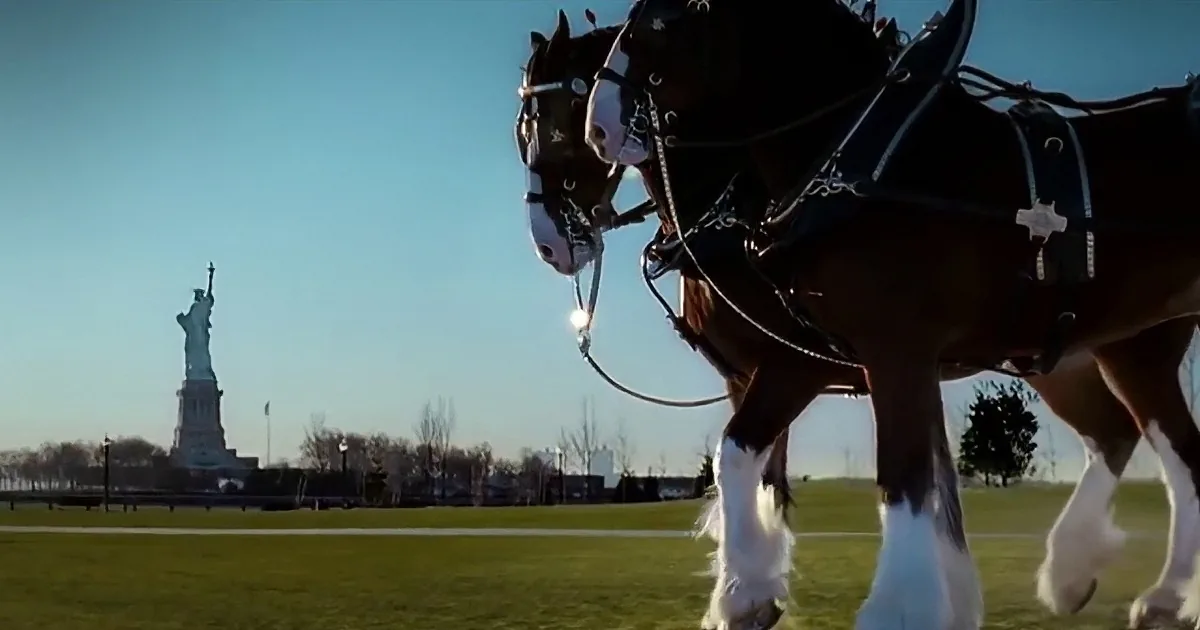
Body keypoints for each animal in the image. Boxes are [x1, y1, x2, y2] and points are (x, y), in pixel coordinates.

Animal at [523, 8, 1200, 630]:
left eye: (554, 122)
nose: (549, 245)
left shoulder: (842, 357)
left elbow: (883, 473)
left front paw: (889, 607)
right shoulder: (789, 370)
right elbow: (770, 471)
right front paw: (752, 591)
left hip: (1126, 351)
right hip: (1094, 351)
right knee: (1133, 438)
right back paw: (1101, 579)